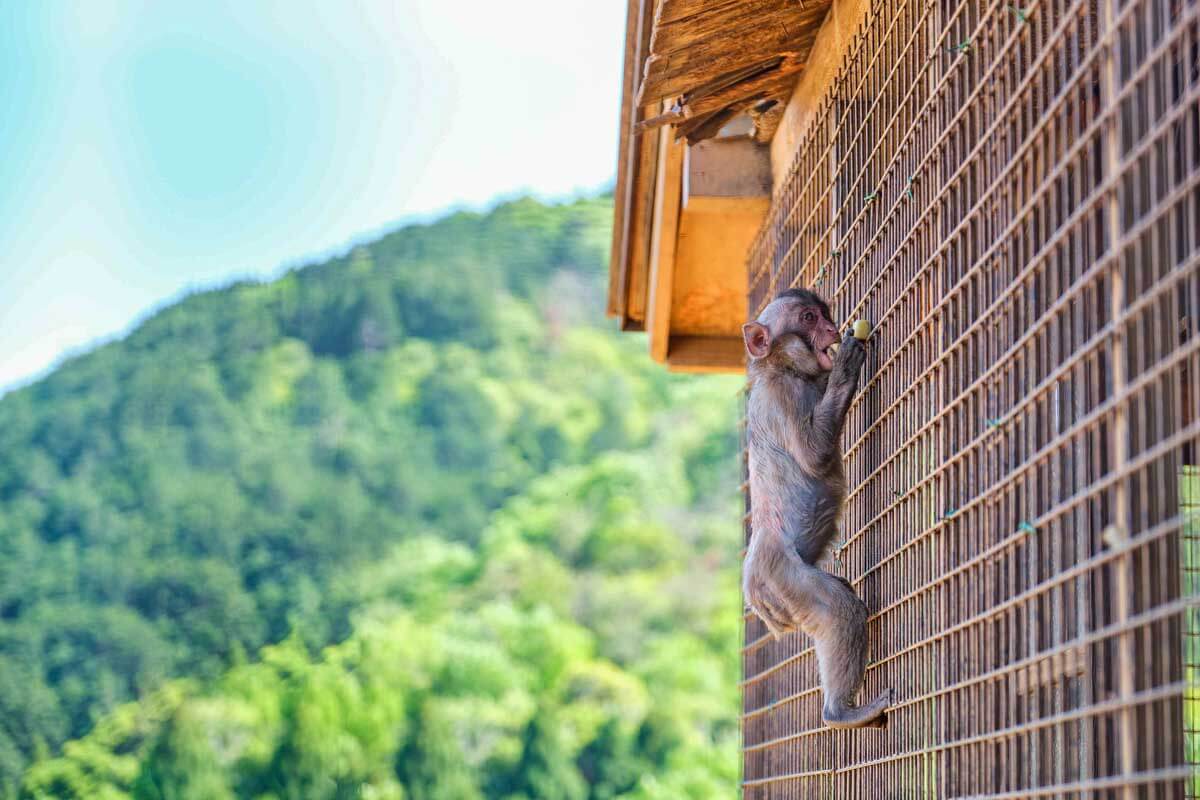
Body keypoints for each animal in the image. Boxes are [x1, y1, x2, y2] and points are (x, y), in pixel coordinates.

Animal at [741, 288, 892, 729]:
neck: (786, 370)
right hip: (781, 577)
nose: (830, 326)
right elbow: (813, 454)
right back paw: (840, 711)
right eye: (808, 318)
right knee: (839, 609)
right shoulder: (783, 397)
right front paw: (846, 365)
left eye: (823, 314)